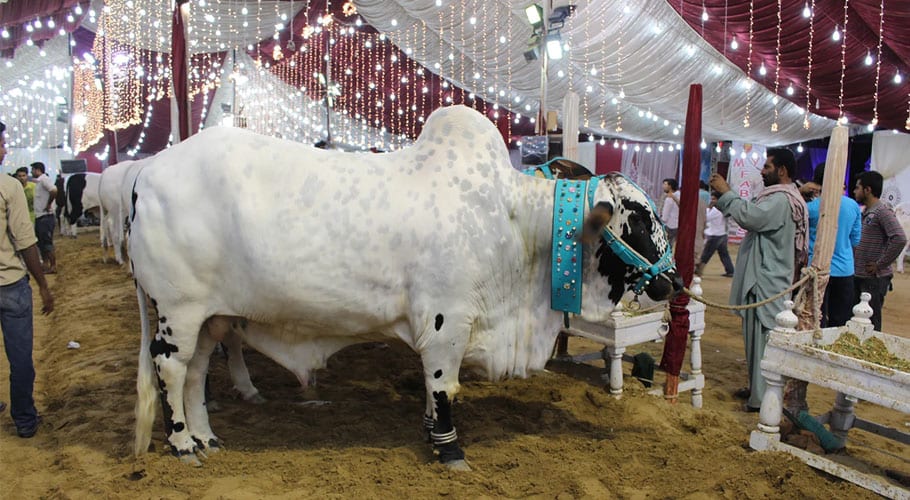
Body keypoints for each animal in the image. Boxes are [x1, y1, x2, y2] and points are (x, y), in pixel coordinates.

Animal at [131, 105, 679, 469]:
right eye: (637, 218)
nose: (672, 282)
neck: (513, 219)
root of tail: (147, 171)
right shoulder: (446, 324)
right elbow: (443, 386)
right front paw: (449, 448)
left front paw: (431, 432)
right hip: (177, 311)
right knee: (171, 368)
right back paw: (181, 444)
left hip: (211, 317)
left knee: (197, 370)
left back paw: (206, 436)